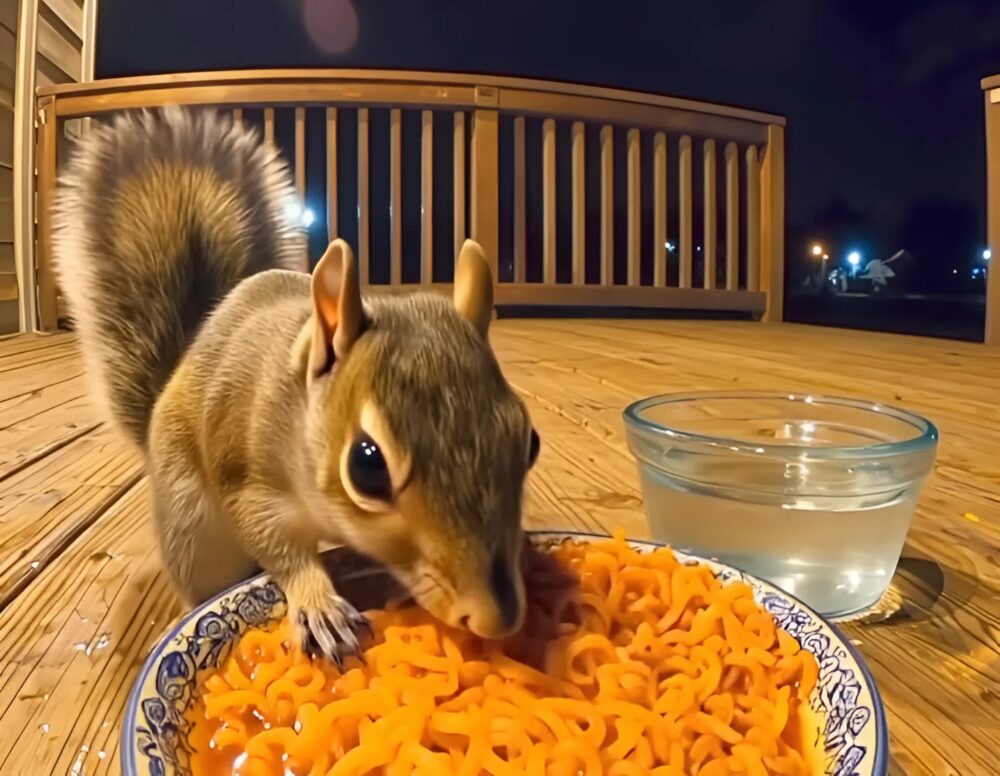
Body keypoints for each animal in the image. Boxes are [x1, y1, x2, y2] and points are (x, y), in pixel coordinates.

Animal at [53, 107, 540, 664]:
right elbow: (274, 543)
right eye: (367, 467)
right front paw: (319, 604)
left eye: (530, 442)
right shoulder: (245, 469)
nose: (494, 618)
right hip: (192, 531)